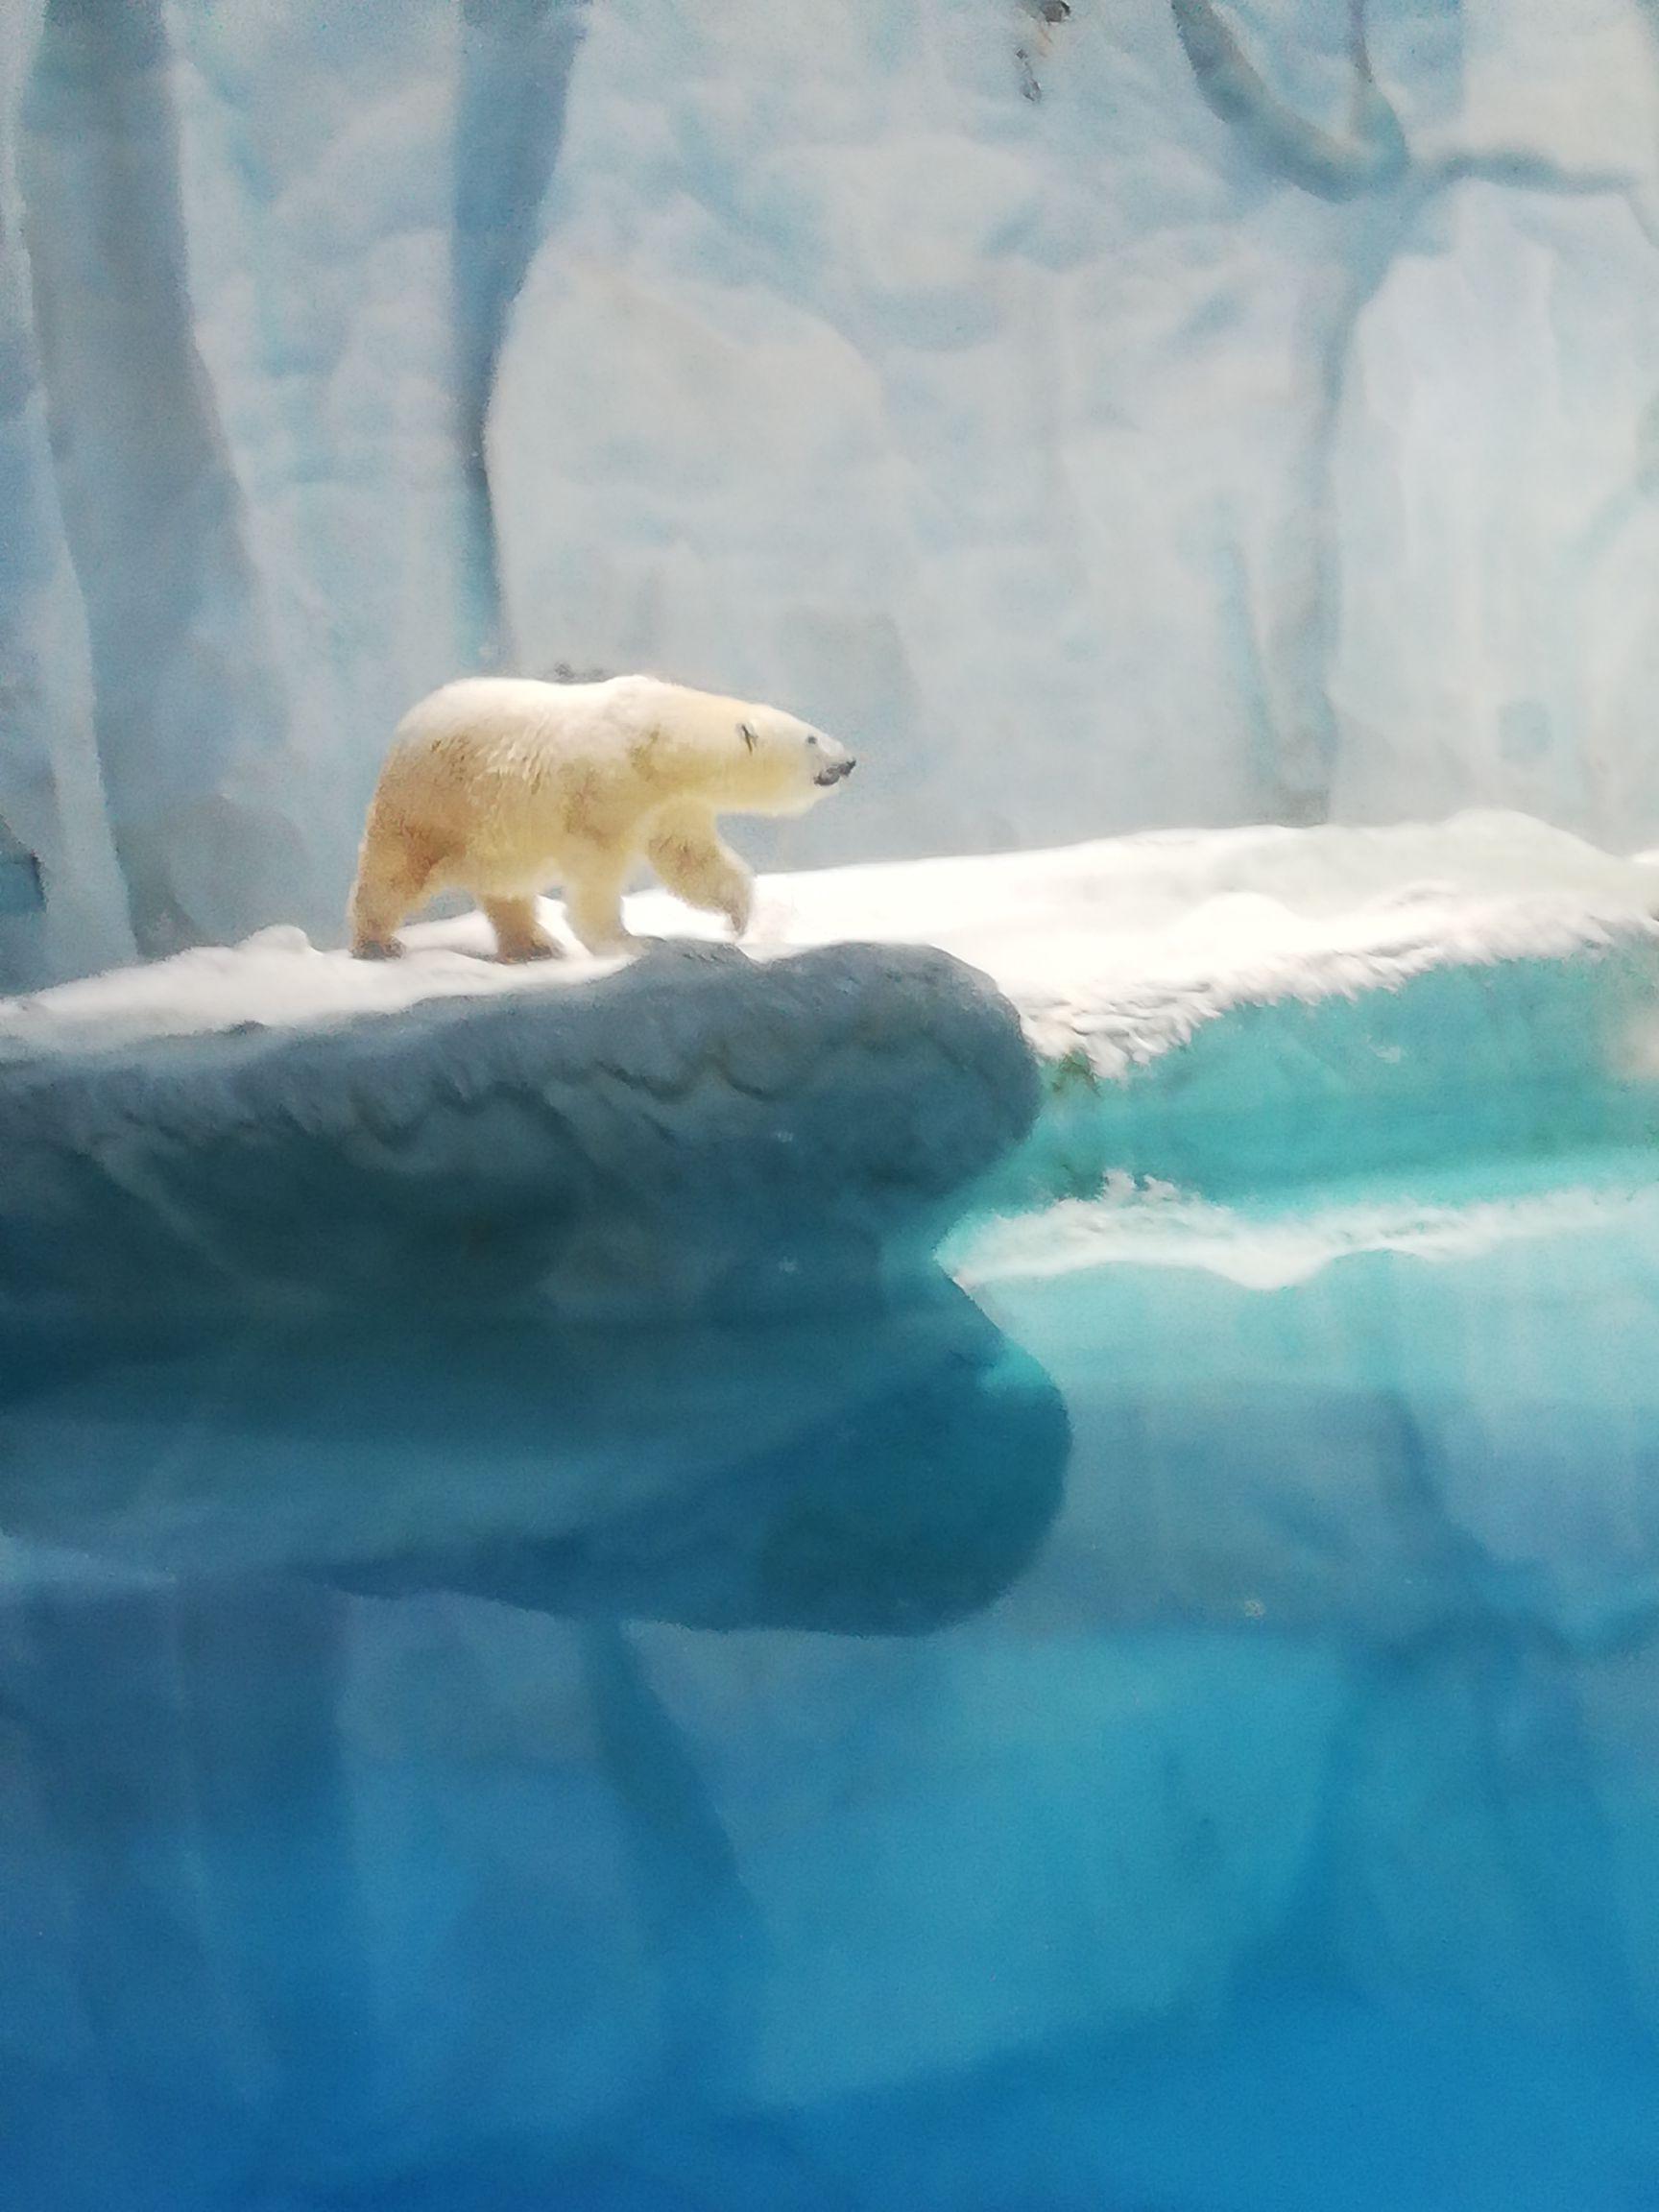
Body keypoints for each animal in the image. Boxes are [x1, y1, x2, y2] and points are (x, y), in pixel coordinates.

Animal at [347, 673, 856, 962]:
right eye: (812, 737)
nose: (849, 760)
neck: (657, 738)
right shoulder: (607, 784)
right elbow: (599, 868)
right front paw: (624, 943)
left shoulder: (671, 803)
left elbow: (690, 858)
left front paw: (739, 915)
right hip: (434, 801)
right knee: (397, 872)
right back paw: (377, 942)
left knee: (506, 887)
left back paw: (534, 946)